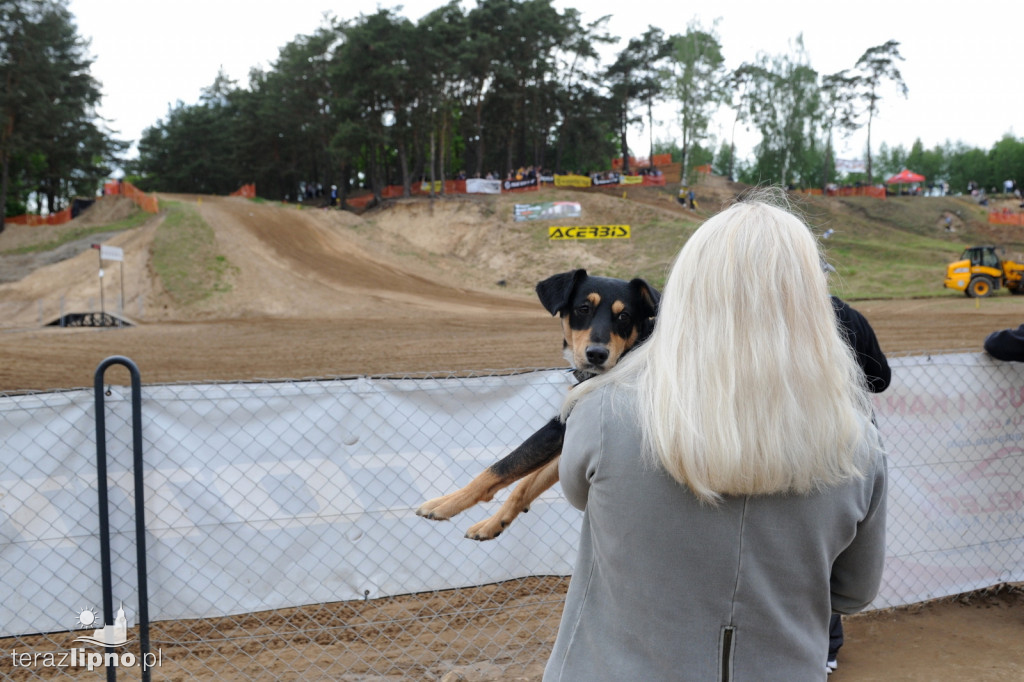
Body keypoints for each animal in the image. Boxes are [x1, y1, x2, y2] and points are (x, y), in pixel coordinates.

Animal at [413, 268, 659, 540]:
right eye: (583, 308)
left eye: (624, 316)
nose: (597, 354)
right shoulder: (566, 434)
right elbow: (525, 483)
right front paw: (493, 523)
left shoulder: (561, 427)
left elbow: (499, 468)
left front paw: (446, 504)